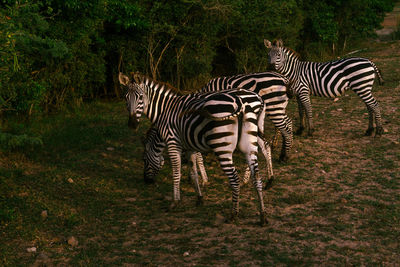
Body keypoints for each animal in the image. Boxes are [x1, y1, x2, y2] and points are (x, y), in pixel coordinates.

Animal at [117, 72, 270, 225]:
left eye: (144, 159)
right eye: (125, 98)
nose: (132, 124)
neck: (164, 111)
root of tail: (244, 103)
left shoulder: (173, 143)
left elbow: (177, 172)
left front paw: (175, 202)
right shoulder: (190, 145)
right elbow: (193, 170)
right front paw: (199, 197)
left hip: (222, 147)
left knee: (235, 179)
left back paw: (234, 213)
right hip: (249, 143)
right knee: (257, 174)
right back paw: (262, 214)